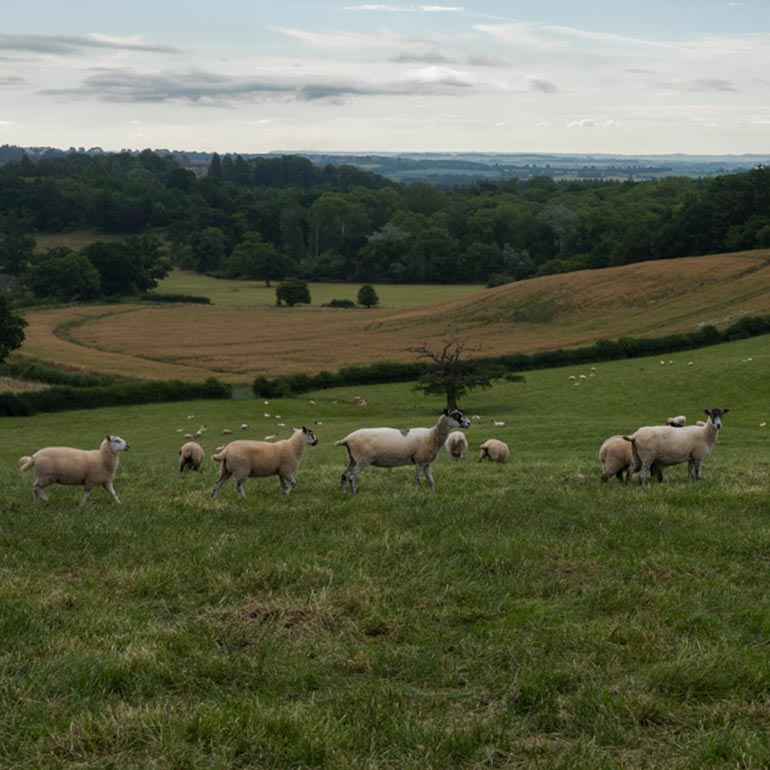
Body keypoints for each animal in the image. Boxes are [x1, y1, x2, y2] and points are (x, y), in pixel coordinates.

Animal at [334, 408, 468, 492]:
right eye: (456, 415)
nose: (469, 423)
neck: (433, 435)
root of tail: (347, 439)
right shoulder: (420, 461)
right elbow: (418, 479)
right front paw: (415, 493)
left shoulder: (426, 463)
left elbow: (431, 480)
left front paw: (432, 493)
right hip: (363, 459)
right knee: (351, 476)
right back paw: (354, 493)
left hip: (352, 458)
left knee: (344, 475)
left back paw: (342, 493)